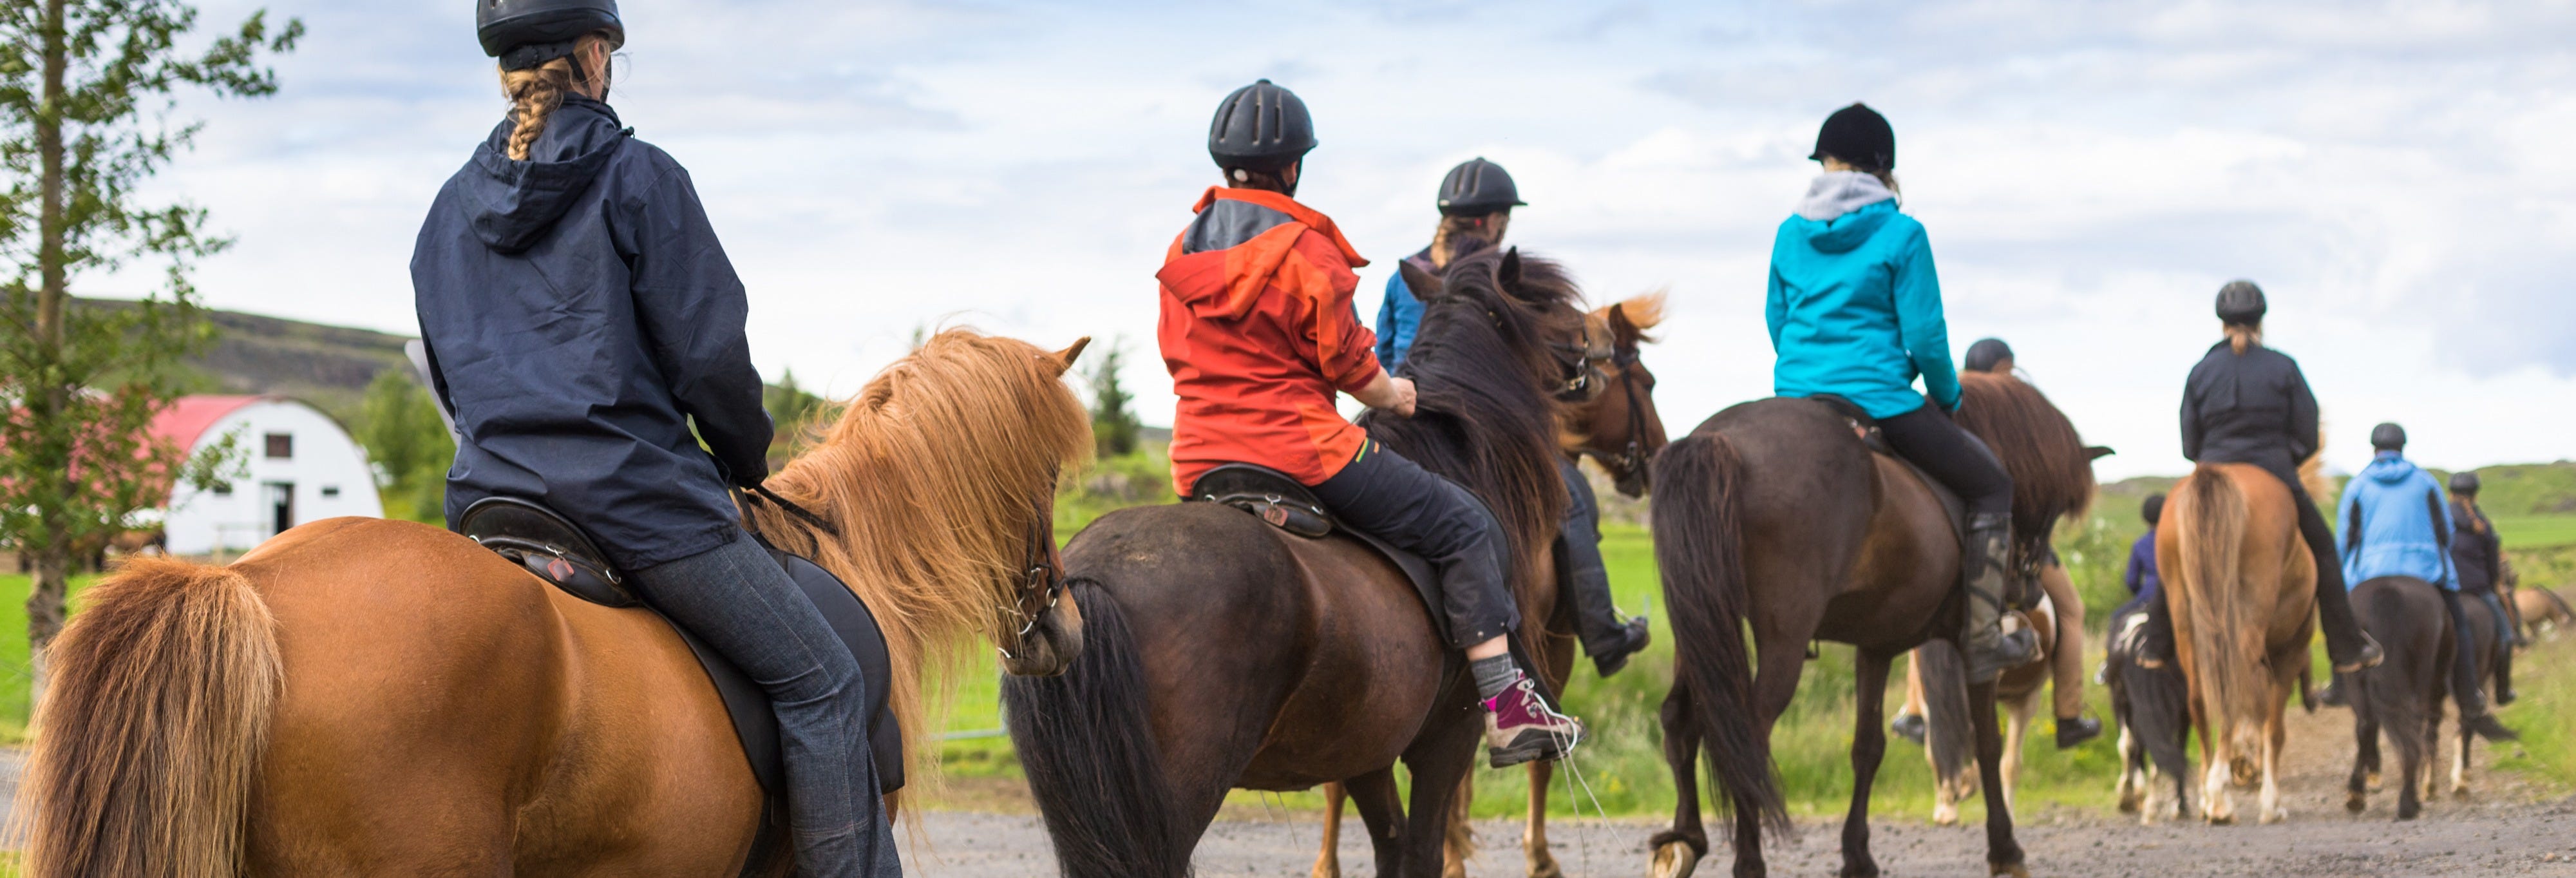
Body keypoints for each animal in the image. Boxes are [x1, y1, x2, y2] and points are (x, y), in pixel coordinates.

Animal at [1010, 248, 1607, 875]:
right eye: (1558, 308)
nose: (1603, 350)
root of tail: (1088, 579)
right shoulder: (1448, 737)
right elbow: (1422, 849)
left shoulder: (1366, 752)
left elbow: (1392, 846)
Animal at [1319, 292, 1680, 875]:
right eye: (1645, 383)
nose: (1656, 455)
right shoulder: (1548, 643)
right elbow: (1537, 760)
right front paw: (1536, 856)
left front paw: (1457, 846)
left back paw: (1326, 862)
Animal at [1649, 373, 2092, 875]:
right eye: (2055, 507)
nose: (2032, 590)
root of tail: (1720, 440)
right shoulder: (1975, 650)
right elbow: (1987, 743)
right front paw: (2005, 848)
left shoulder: (1876, 647)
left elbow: (1868, 747)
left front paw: (1858, 853)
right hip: (1781, 641)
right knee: (1747, 738)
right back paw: (1748, 861)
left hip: (1698, 626)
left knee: (1680, 719)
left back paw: (1684, 841)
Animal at [2154, 458, 2318, 819]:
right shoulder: (2290, 654)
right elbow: (2274, 727)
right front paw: (2272, 803)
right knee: (2231, 685)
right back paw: (2219, 793)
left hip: (2186, 617)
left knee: (2201, 695)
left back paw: (2209, 794)